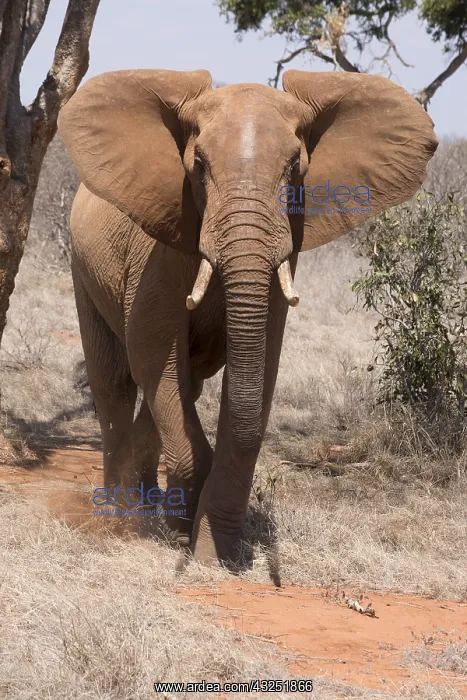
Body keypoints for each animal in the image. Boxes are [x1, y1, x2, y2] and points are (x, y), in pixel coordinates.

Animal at [58, 68, 437, 565]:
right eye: (198, 166)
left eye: (296, 167)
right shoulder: (159, 246)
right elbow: (154, 351)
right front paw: (186, 533)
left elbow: (261, 367)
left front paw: (209, 548)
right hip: (82, 266)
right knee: (115, 382)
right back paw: (120, 517)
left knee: (185, 385)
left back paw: (150, 503)